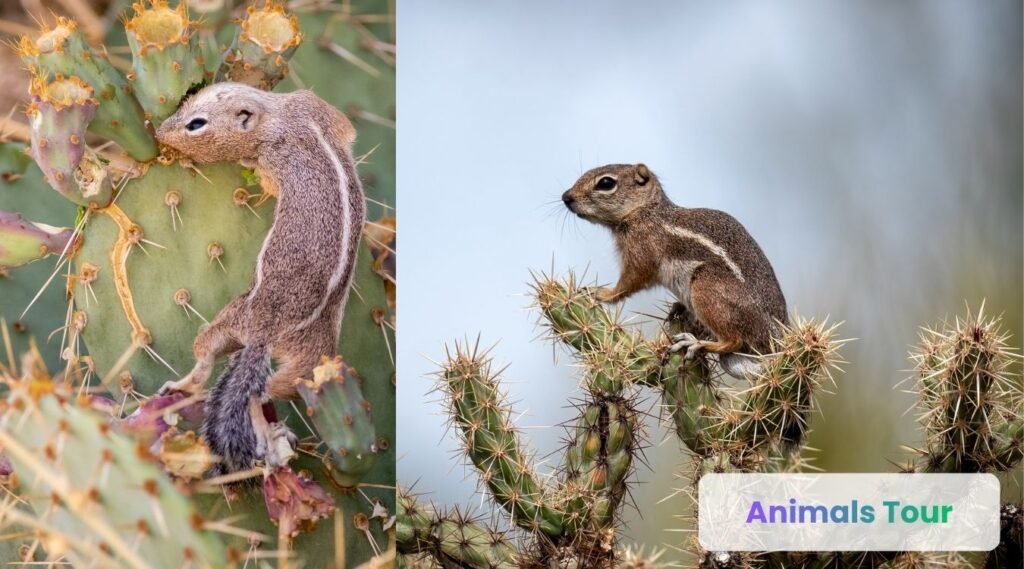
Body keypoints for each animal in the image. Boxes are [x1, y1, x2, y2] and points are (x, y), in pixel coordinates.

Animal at [154, 82, 366, 475]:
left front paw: (245, 164)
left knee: (241, 382)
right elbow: (348, 129)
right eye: (188, 99)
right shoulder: (316, 106)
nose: (160, 132)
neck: (278, 114)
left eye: (196, 124)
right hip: (295, 356)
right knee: (243, 376)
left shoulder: (275, 154)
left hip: (239, 322)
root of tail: (264, 334)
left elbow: (265, 178)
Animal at [562, 163, 787, 379]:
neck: (645, 211)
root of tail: (776, 342)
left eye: (606, 183)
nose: (566, 197)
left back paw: (694, 342)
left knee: (734, 340)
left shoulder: (641, 252)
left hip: (706, 286)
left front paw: (601, 294)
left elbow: (629, 282)